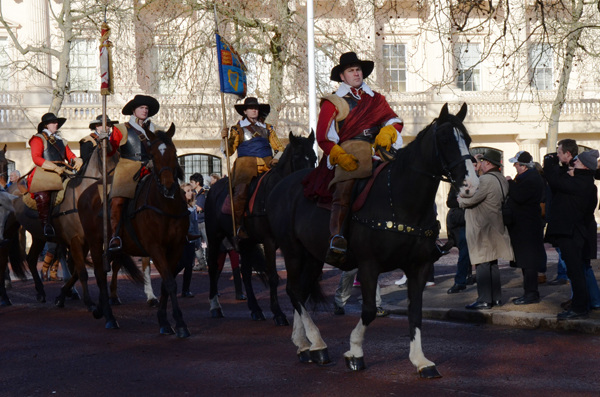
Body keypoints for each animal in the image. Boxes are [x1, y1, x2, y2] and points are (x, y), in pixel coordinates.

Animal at [78, 123, 190, 334]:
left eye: (174, 152)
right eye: (153, 155)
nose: (169, 187)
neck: (165, 206)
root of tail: (86, 193)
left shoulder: (177, 247)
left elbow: (166, 283)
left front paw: (164, 321)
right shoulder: (155, 247)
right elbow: (170, 283)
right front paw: (179, 324)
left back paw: (100, 309)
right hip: (95, 242)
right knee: (99, 275)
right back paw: (110, 318)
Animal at [205, 131, 318, 324]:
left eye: (314, 157)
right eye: (297, 156)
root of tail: (212, 189)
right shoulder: (269, 241)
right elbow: (273, 277)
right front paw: (278, 314)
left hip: (246, 242)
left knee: (245, 272)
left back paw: (256, 309)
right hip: (214, 237)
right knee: (213, 267)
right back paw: (215, 307)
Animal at [268, 103, 478, 376]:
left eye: (468, 140)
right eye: (444, 139)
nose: (470, 185)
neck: (401, 201)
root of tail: (282, 185)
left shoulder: (419, 267)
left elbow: (415, 311)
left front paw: (420, 360)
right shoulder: (369, 265)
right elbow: (368, 311)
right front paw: (355, 352)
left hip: (313, 256)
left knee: (300, 292)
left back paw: (305, 345)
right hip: (292, 251)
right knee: (292, 290)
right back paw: (318, 344)